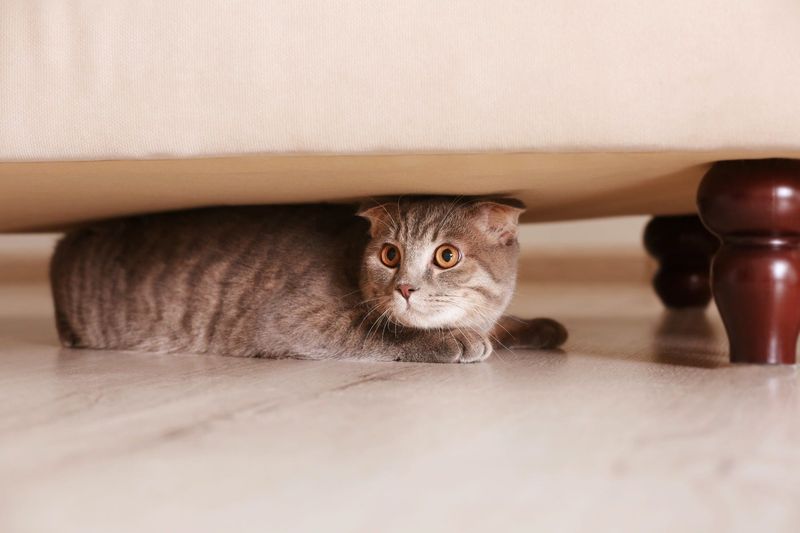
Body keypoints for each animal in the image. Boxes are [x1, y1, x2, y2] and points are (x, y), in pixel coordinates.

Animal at [50, 197, 564, 364]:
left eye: (447, 255)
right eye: (390, 254)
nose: (405, 287)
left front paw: (536, 326)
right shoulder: (294, 321)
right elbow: (379, 333)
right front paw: (452, 340)